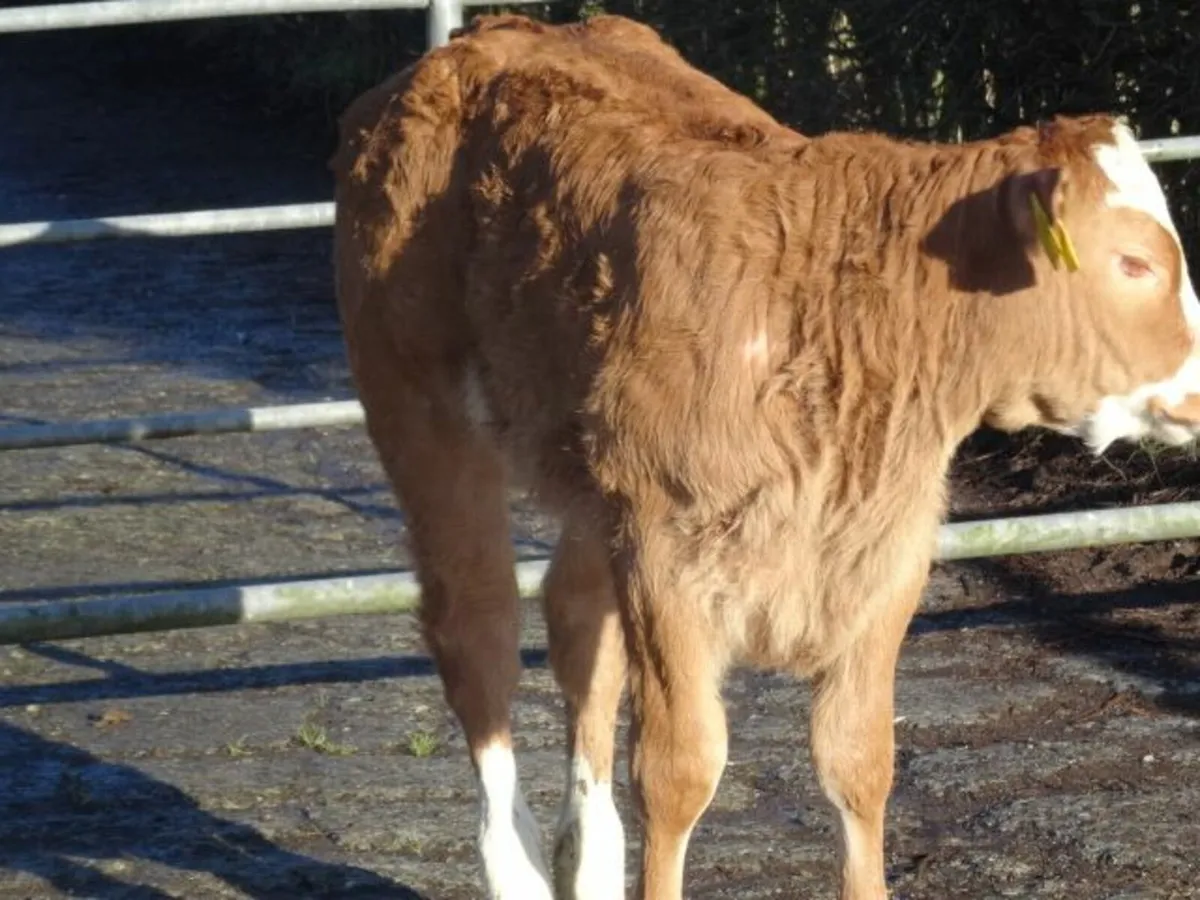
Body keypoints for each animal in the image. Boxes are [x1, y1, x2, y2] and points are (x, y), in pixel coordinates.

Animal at [330, 12, 1200, 900]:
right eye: (1134, 262)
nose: (1196, 393)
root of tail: (488, 36)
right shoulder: (665, 557)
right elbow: (678, 772)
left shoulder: (884, 555)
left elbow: (860, 761)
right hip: (419, 411)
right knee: (478, 630)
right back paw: (517, 865)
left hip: (591, 483)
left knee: (577, 629)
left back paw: (589, 858)